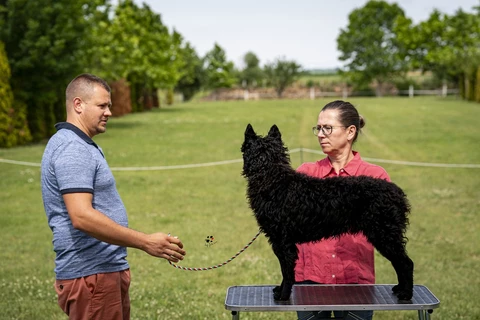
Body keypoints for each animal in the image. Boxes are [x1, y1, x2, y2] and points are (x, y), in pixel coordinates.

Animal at [242, 122, 414, 300]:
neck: (273, 179)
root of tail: (397, 192)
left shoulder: (283, 241)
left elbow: (287, 271)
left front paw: (283, 294)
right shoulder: (280, 241)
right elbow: (286, 270)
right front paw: (280, 290)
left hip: (384, 234)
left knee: (406, 263)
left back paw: (406, 293)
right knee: (399, 263)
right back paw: (400, 289)